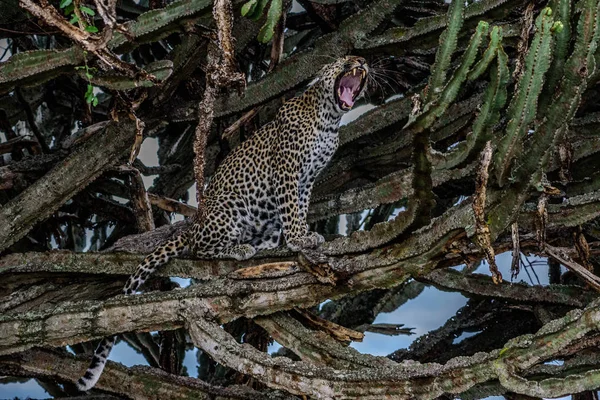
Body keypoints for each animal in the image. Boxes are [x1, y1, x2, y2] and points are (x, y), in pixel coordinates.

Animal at [77, 54, 368, 390]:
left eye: (357, 58)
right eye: (344, 60)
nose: (361, 60)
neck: (330, 119)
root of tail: (195, 222)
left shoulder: (307, 179)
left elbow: (301, 206)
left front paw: (304, 234)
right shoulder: (287, 169)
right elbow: (291, 207)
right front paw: (299, 238)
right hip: (230, 207)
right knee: (200, 248)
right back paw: (239, 249)